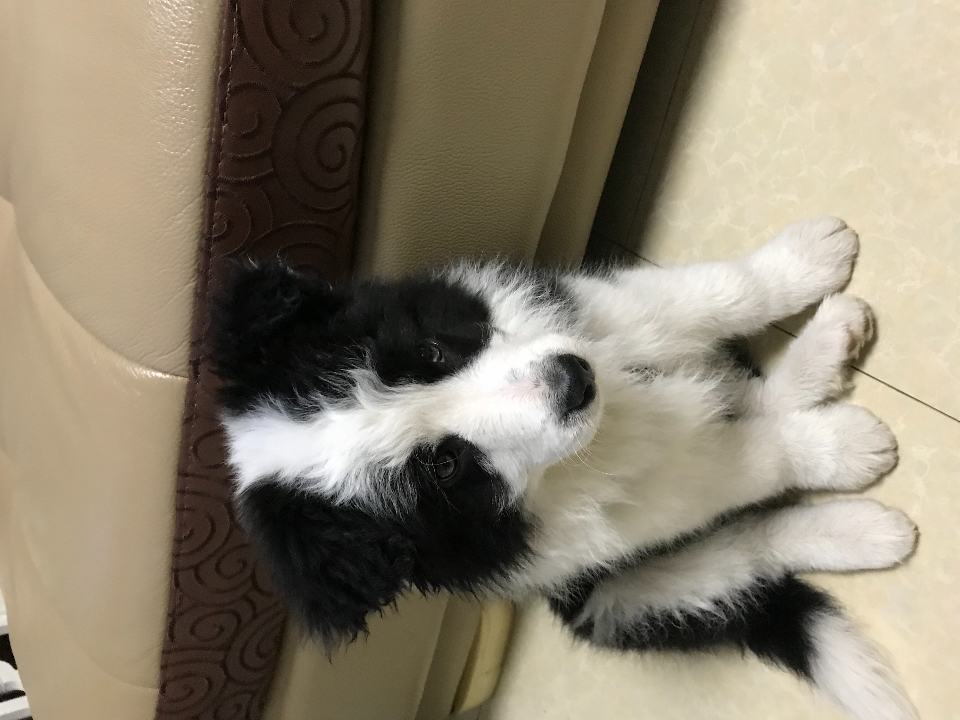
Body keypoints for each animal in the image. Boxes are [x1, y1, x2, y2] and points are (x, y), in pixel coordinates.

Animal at [210, 217, 918, 720]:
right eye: (445, 468)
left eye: (431, 353)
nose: (575, 380)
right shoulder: (634, 503)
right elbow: (744, 459)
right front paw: (840, 446)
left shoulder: (590, 310)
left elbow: (706, 297)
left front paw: (808, 258)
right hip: (615, 594)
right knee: (746, 545)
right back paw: (867, 527)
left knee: (739, 401)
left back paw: (825, 344)